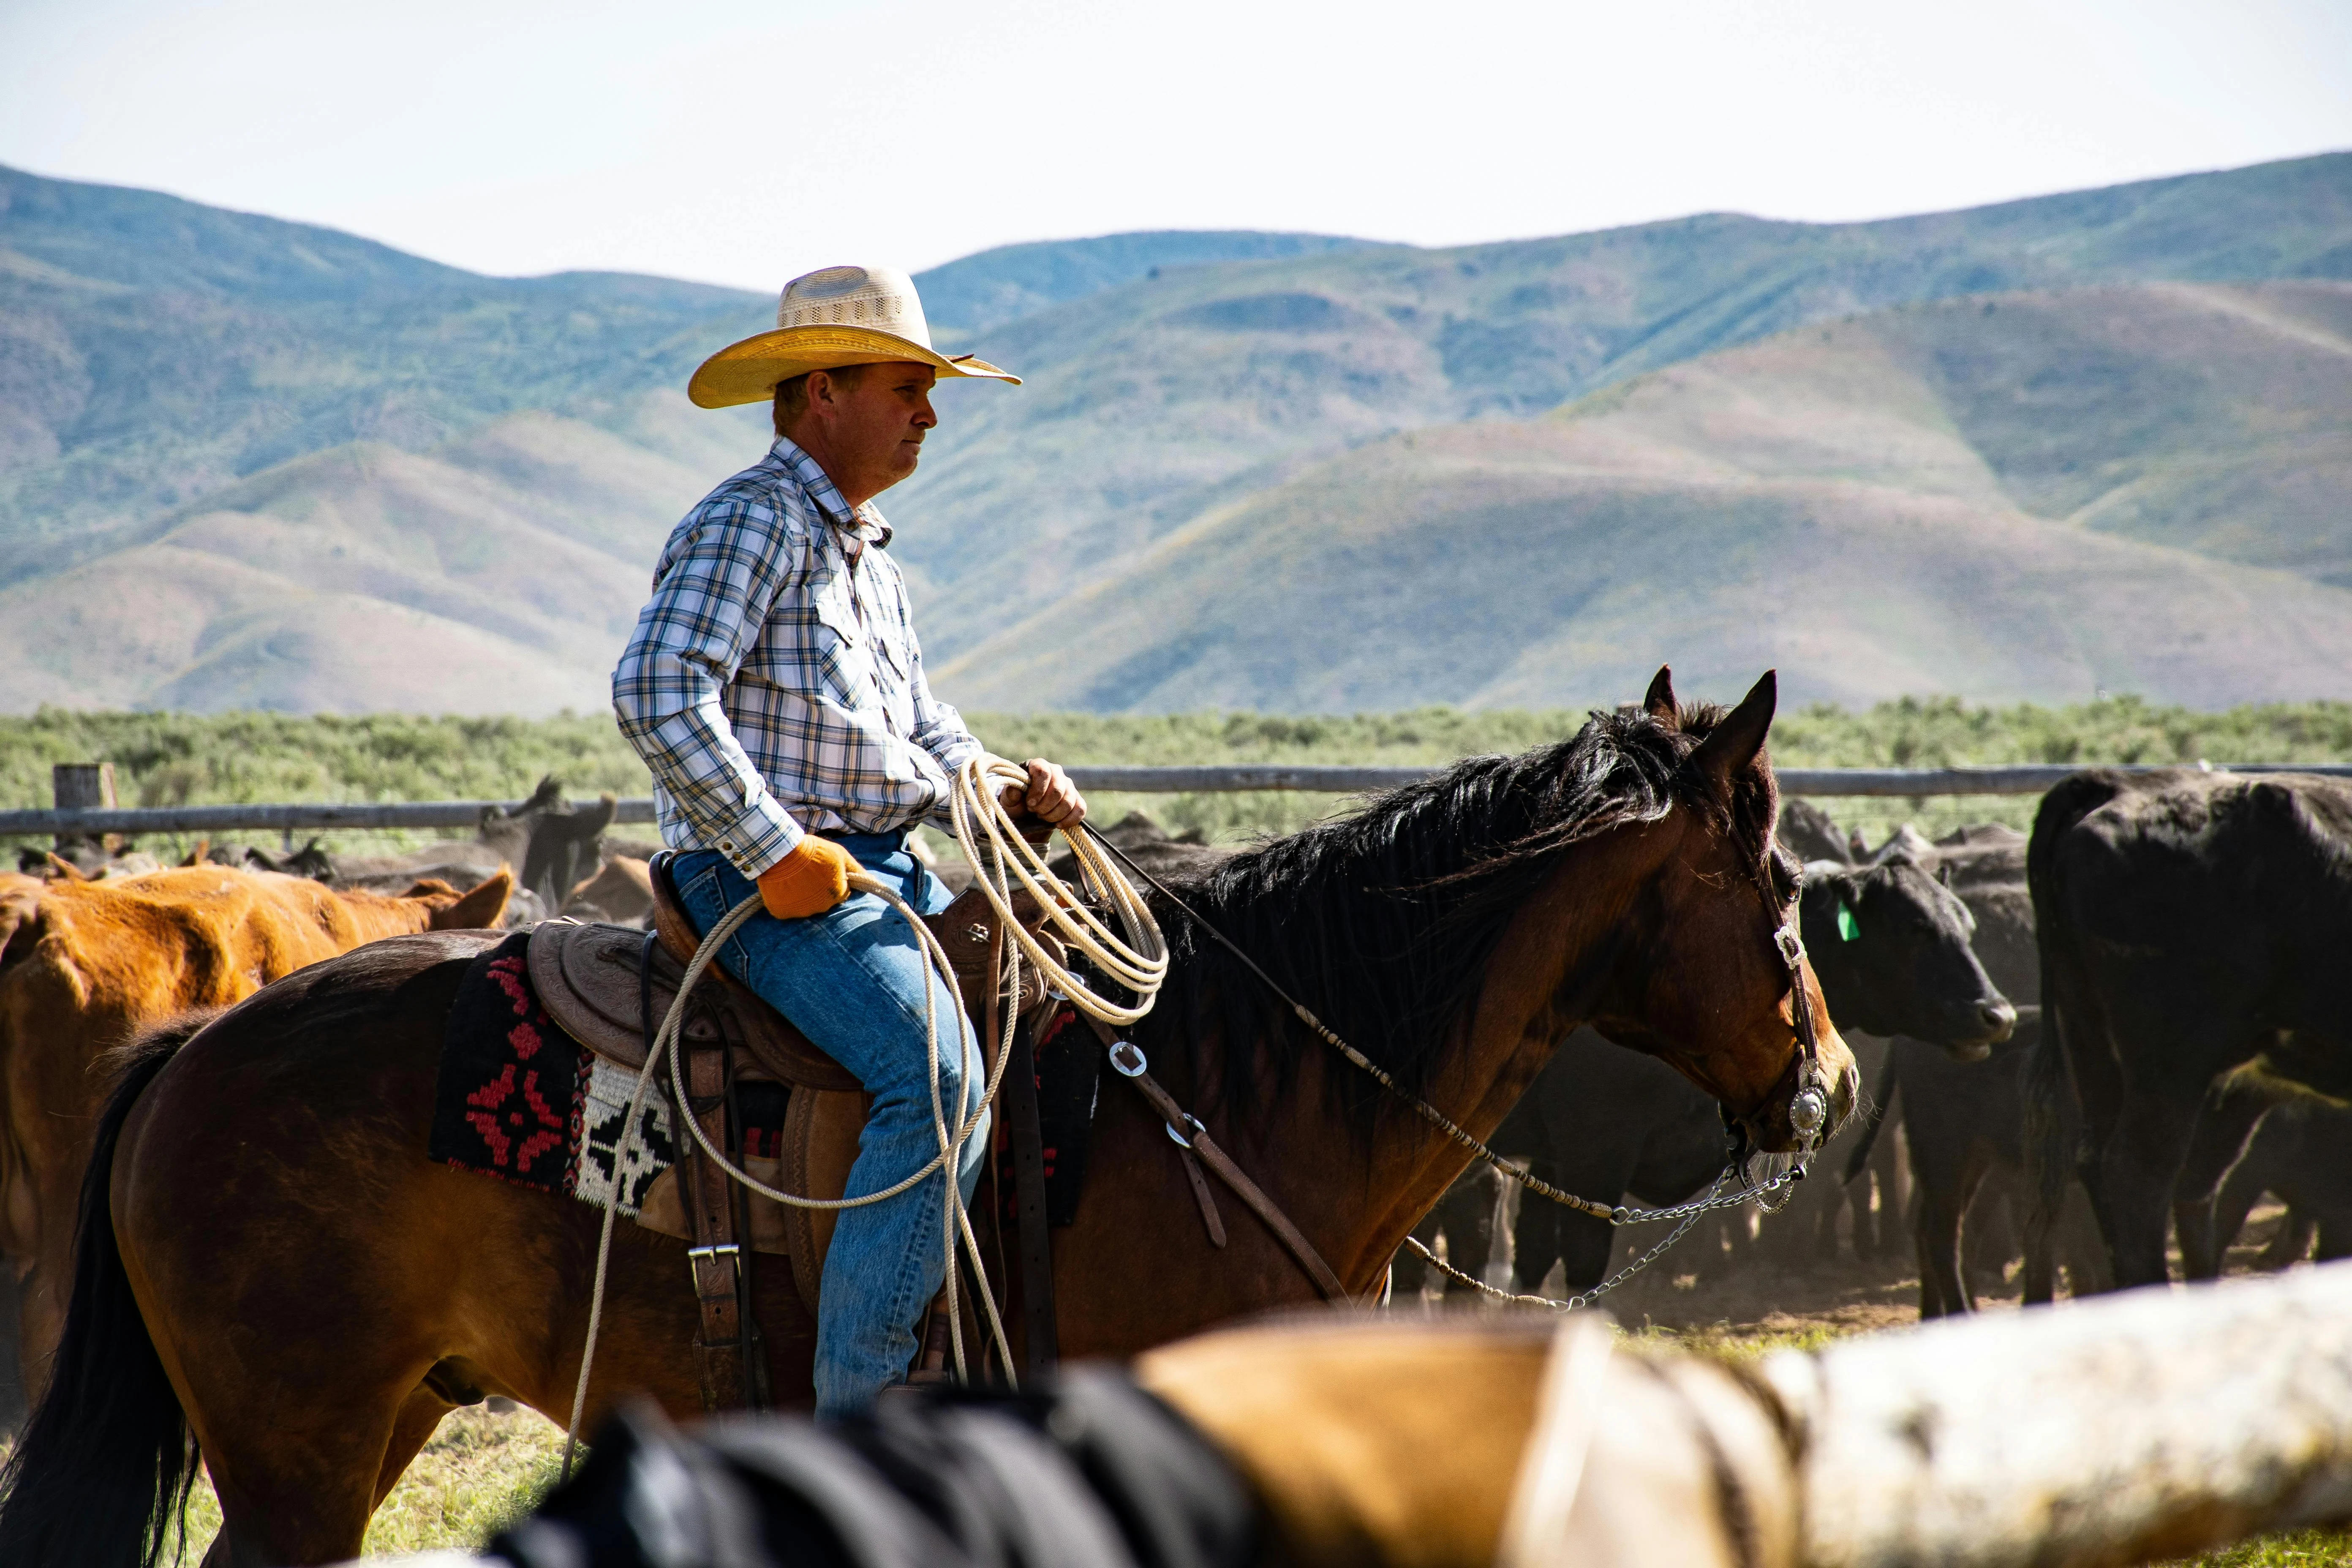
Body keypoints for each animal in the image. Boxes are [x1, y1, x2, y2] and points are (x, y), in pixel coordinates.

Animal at [0, 667, 1844, 1568]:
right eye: (1774, 882)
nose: (1823, 1085)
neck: (1234, 1082)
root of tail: (199, 1048)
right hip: (300, 1450)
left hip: (366, 1423)